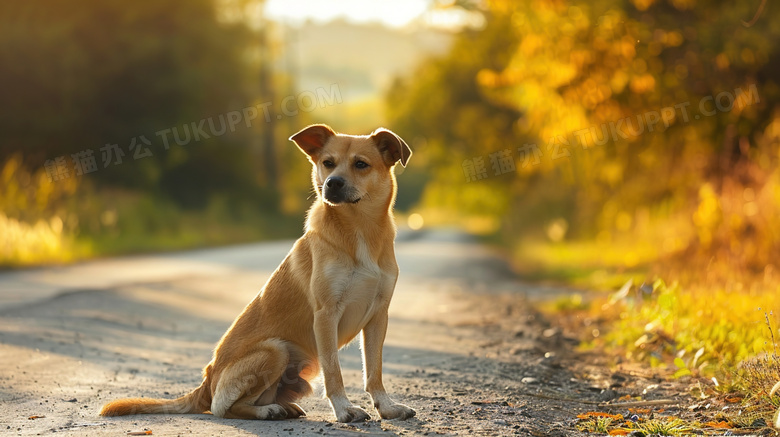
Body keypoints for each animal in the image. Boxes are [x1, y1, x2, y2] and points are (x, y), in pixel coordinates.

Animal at [101, 123, 418, 422]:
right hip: (275, 349)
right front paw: (344, 410)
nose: (332, 183)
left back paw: (283, 407)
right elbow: (334, 372)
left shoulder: (378, 316)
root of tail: (207, 380)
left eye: (361, 164)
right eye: (328, 162)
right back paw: (269, 411)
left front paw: (387, 407)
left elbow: (374, 371)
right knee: (222, 408)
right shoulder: (326, 314)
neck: (360, 228)